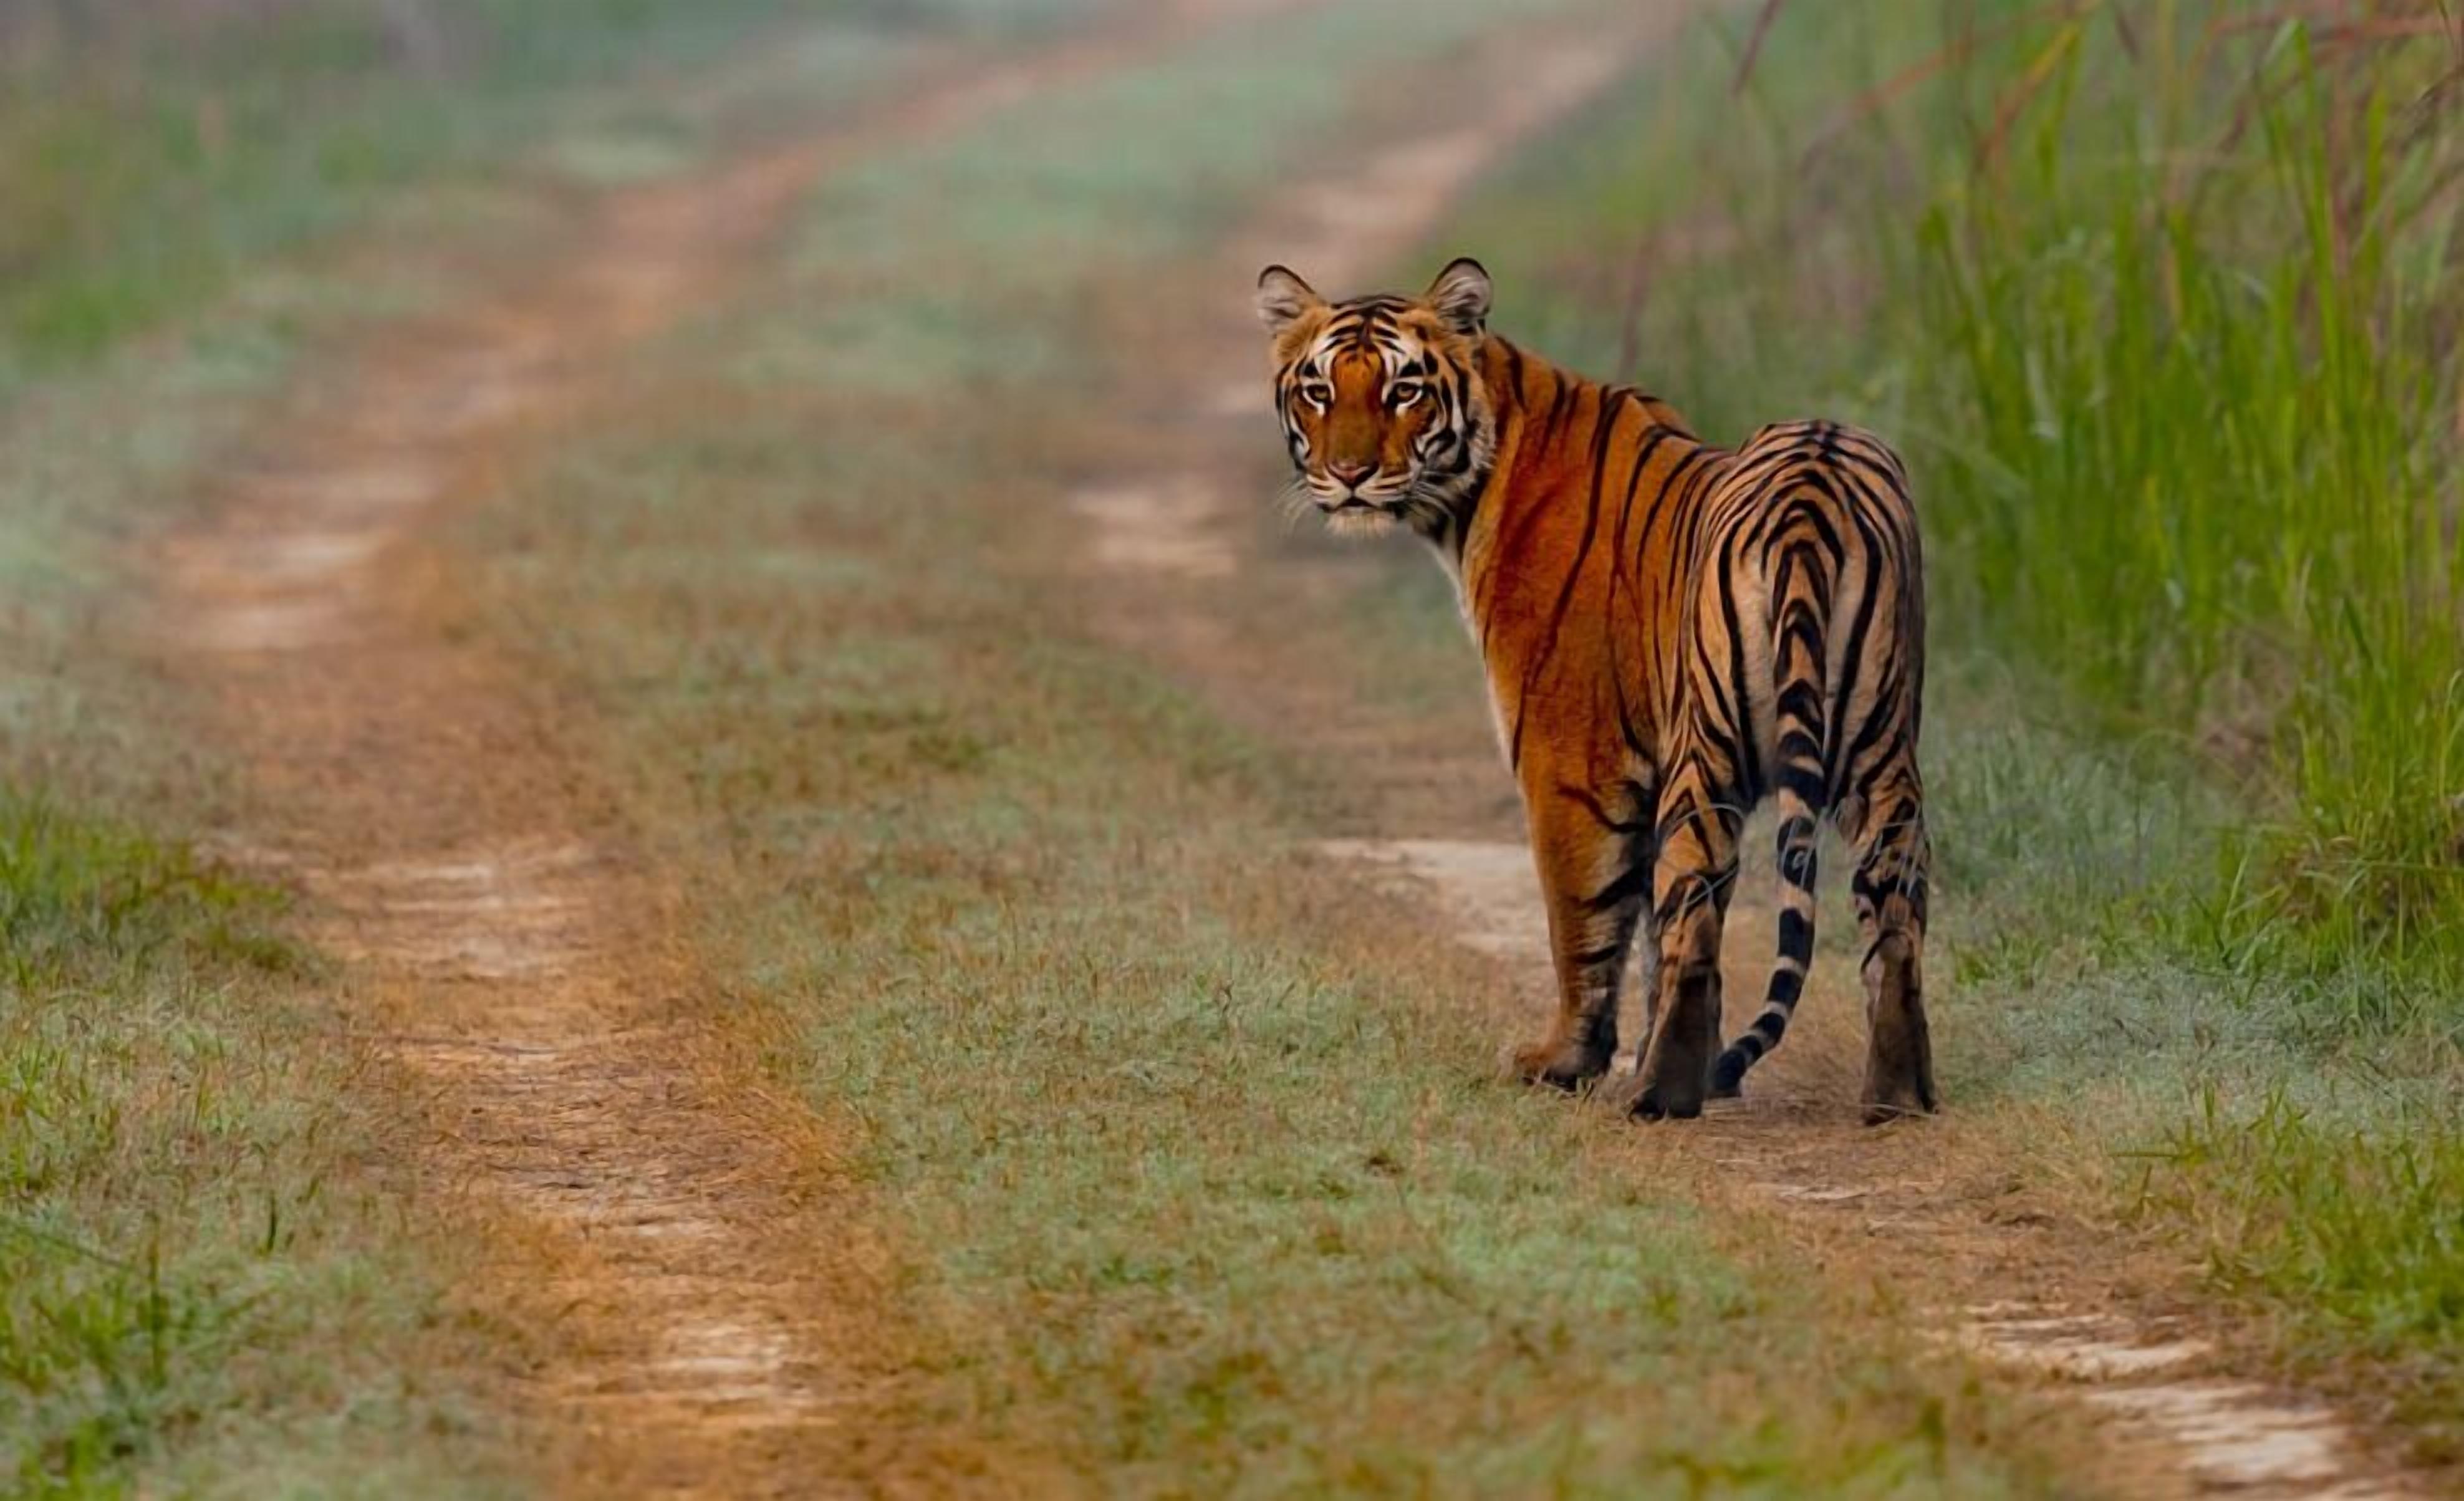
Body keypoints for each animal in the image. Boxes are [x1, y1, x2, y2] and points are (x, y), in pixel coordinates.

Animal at [1256, 257, 1935, 1123]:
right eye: (1318, 389)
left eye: (1403, 389)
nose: (1348, 476)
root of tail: (1809, 500)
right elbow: (1644, 938)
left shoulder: (1570, 761)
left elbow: (1585, 921)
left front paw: (1562, 1061)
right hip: (1881, 757)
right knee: (1894, 919)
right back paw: (1898, 1092)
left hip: (1709, 756)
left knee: (1694, 916)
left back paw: (1660, 1093)